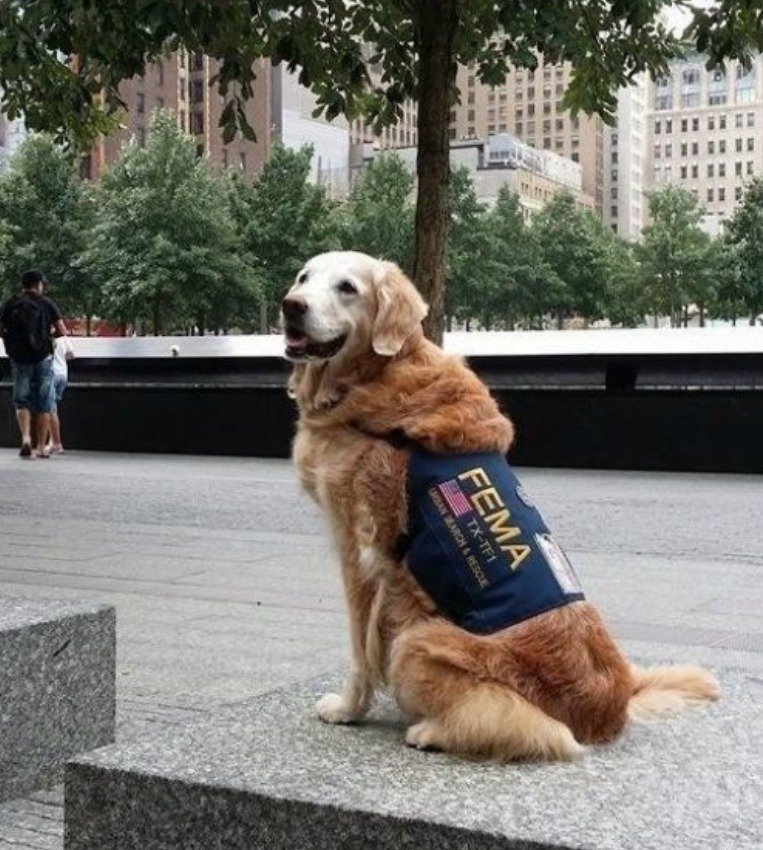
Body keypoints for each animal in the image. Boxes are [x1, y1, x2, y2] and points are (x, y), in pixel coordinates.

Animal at [282, 248, 724, 760]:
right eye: (303, 278)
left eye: (347, 287)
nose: (291, 306)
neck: (372, 375)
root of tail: (611, 707)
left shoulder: (360, 549)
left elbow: (360, 647)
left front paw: (348, 708)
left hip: (418, 639)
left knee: (539, 730)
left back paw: (427, 731)